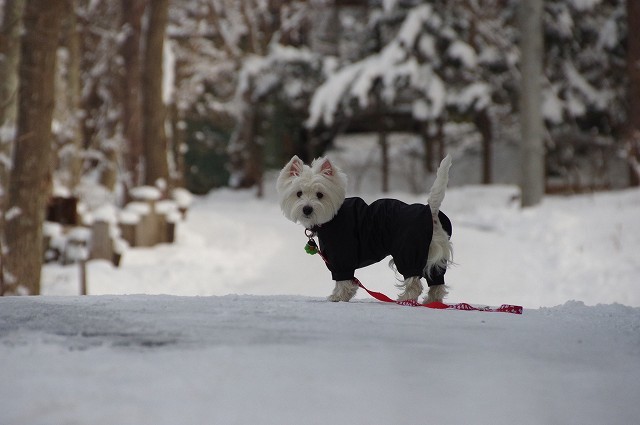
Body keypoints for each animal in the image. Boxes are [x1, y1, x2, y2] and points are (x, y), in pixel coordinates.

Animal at [278, 154, 452, 304]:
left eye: (320, 195)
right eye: (298, 193)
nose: (307, 209)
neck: (332, 218)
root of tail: (430, 211)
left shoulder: (341, 255)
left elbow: (343, 280)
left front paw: (338, 296)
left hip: (408, 251)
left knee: (414, 282)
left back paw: (405, 299)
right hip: (433, 257)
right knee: (437, 283)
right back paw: (431, 302)